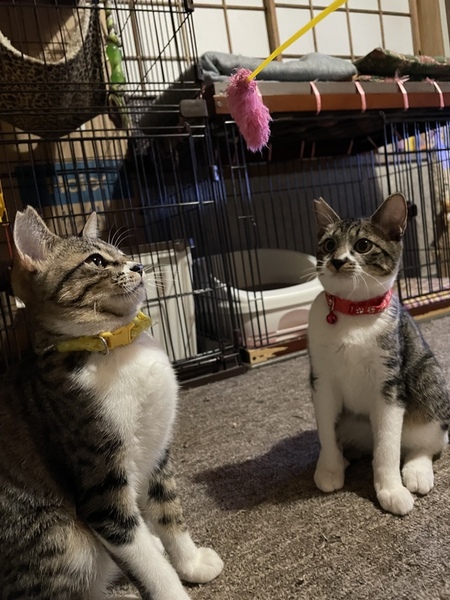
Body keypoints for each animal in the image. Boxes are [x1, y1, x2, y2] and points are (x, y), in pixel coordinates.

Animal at [0, 206, 223, 599]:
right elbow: (144, 559)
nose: (139, 265)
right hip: (66, 540)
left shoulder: (156, 451)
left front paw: (190, 561)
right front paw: (170, 582)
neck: (119, 345)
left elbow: (168, 509)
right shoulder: (101, 488)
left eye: (121, 253)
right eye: (96, 261)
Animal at [308, 192, 450, 516]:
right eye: (329, 244)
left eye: (363, 245)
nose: (338, 261)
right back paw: (344, 455)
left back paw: (416, 470)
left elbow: (388, 447)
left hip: (429, 379)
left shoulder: (389, 382)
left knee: (429, 441)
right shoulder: (321, 379)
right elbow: (325, 427)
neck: (352, 315)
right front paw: (329, 468)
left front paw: (390, 490)